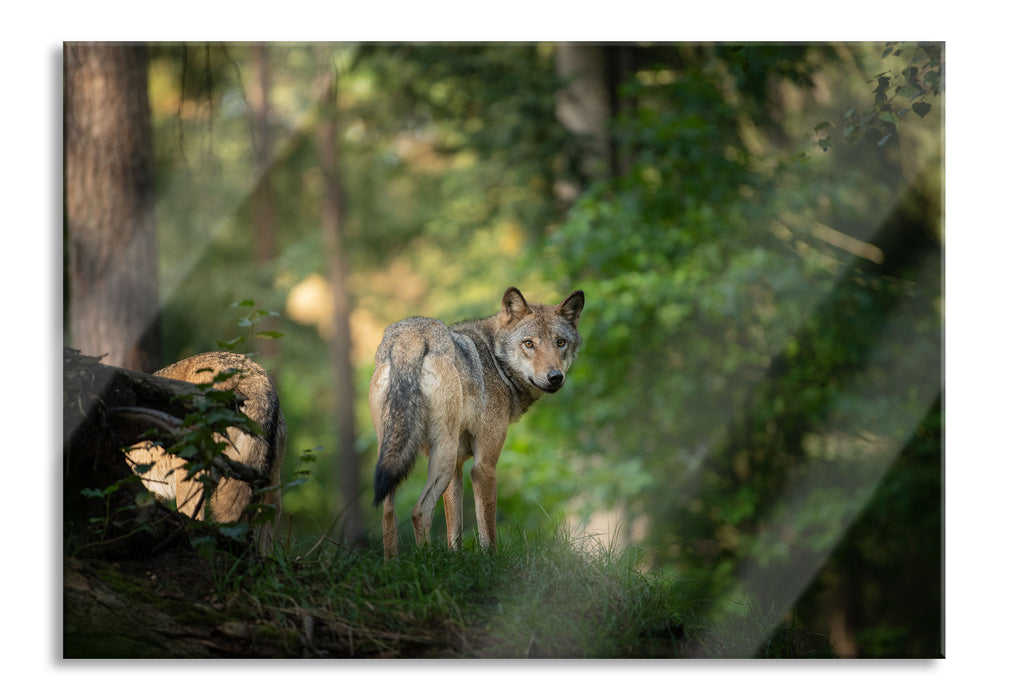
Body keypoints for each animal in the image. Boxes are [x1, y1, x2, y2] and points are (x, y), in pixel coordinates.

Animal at [369, 286, 584, 558]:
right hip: (443, 456)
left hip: (395, 456)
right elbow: (487, 532)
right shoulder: (483, 467)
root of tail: (411, 338)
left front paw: (456, 560)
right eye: (529, 343)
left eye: (560, 342)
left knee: (388, 514)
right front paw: (490, 563)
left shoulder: (458, 468)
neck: (495, 361)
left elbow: (455, 533)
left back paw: (393, 564)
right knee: (419, 510)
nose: (555, 377)